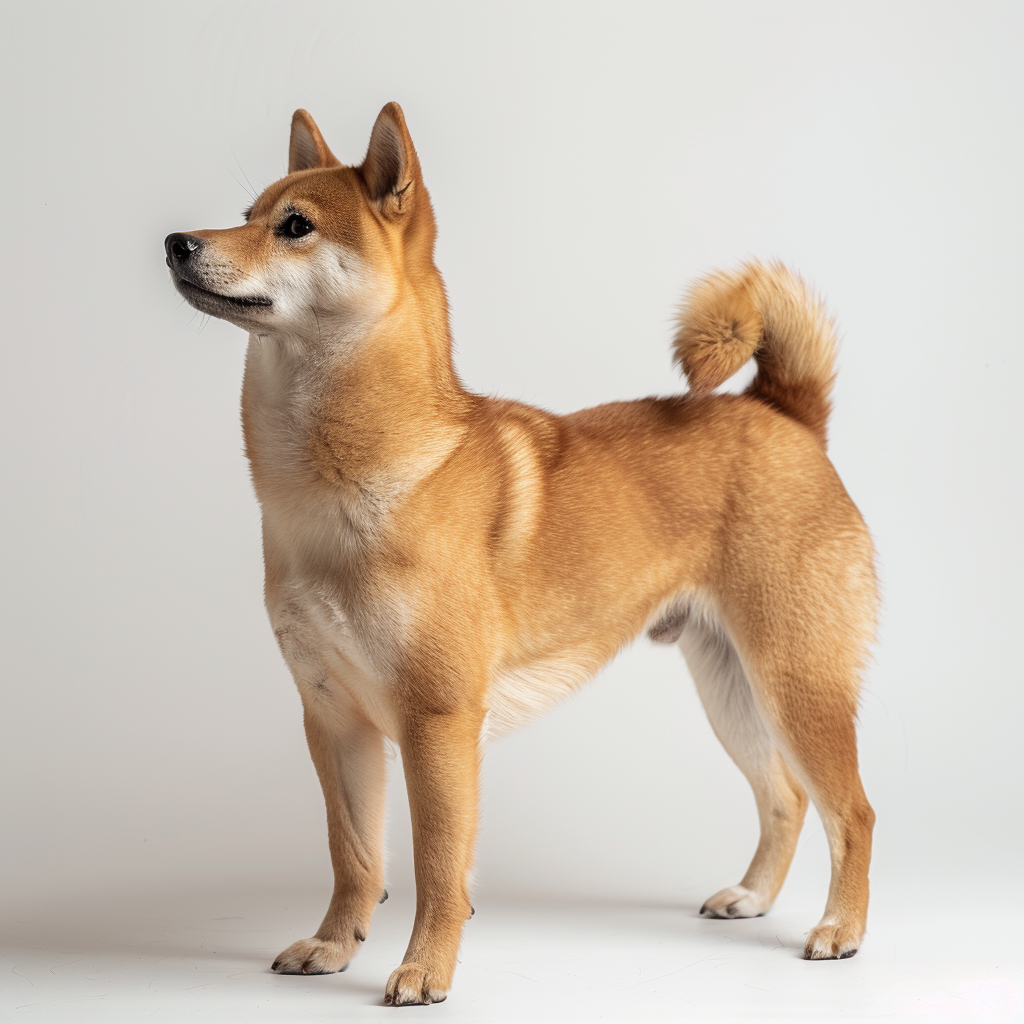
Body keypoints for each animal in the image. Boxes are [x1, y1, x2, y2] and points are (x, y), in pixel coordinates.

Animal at [165, 103, 877, 1006]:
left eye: (295, 227)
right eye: (247, 213)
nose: (177, 242)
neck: (340, 489)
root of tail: (785, 414)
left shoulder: (436, 722)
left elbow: (438, 867)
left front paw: (424, 971)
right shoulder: (332, 717)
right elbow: (353, 855)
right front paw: (332, 946)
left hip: (796, 680)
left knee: (852, 812)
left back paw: (841, 929)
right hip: (731, 688)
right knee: (784, 797)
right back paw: (750, 896)